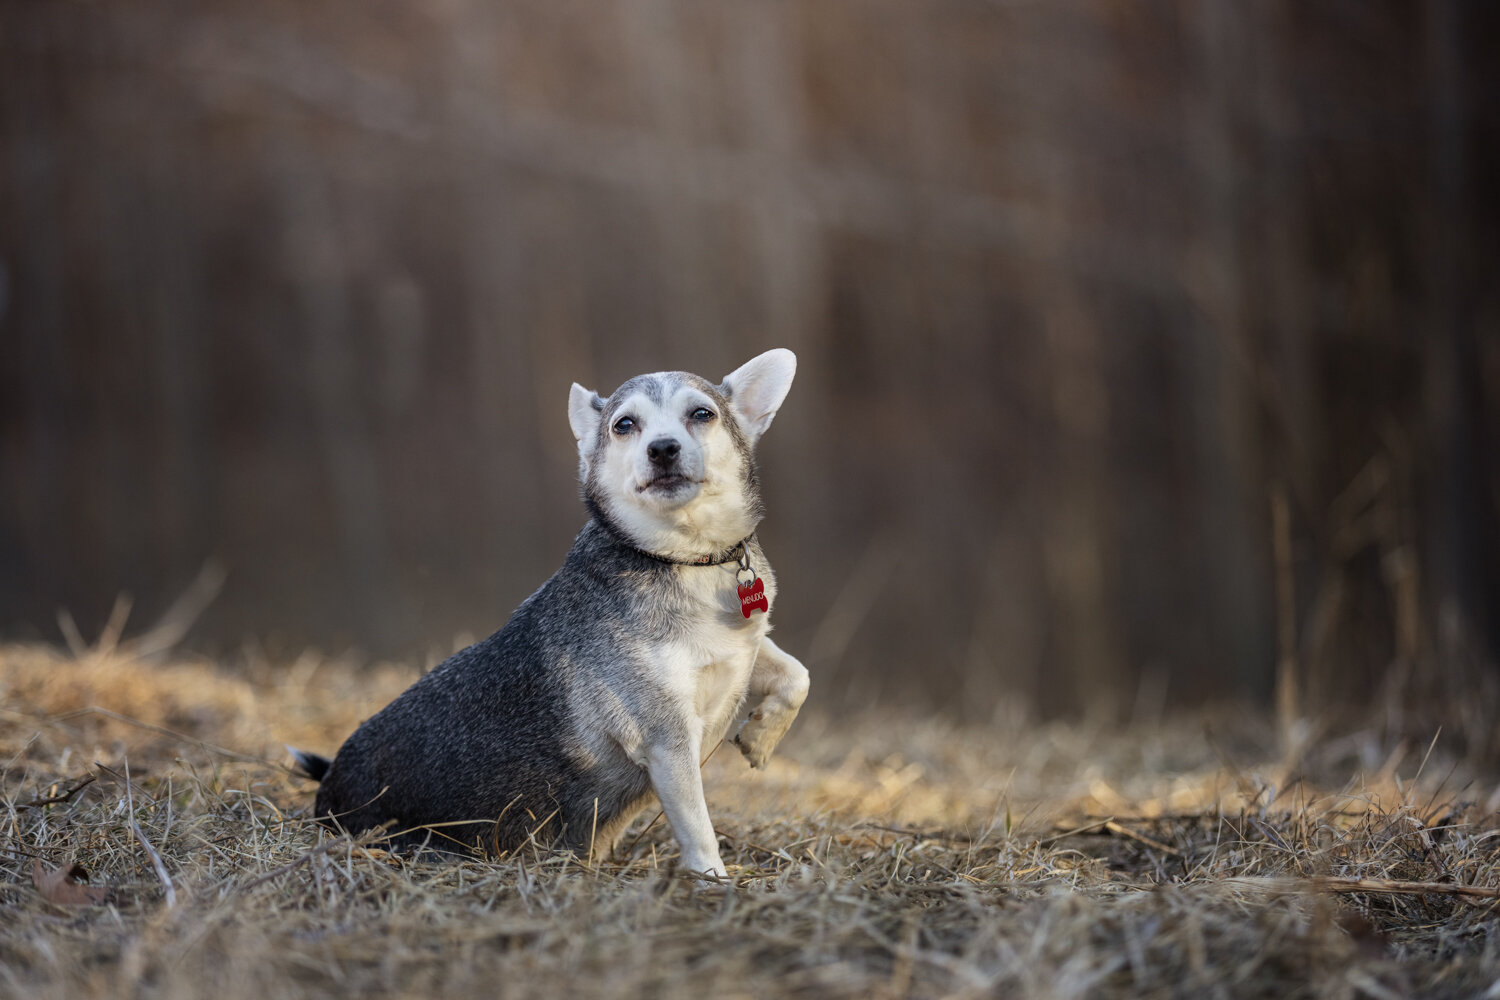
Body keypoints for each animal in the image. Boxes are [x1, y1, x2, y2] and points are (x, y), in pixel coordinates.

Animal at [292, 350, 810, 875]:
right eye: (625, 425)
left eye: (702, 414)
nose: (662, 449)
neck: (683, 557)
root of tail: (328, 787)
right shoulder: (667, 741)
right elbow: (699, 829)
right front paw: (714, 881)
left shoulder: (741, 649)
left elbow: (795, 674)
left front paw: (761, 737)